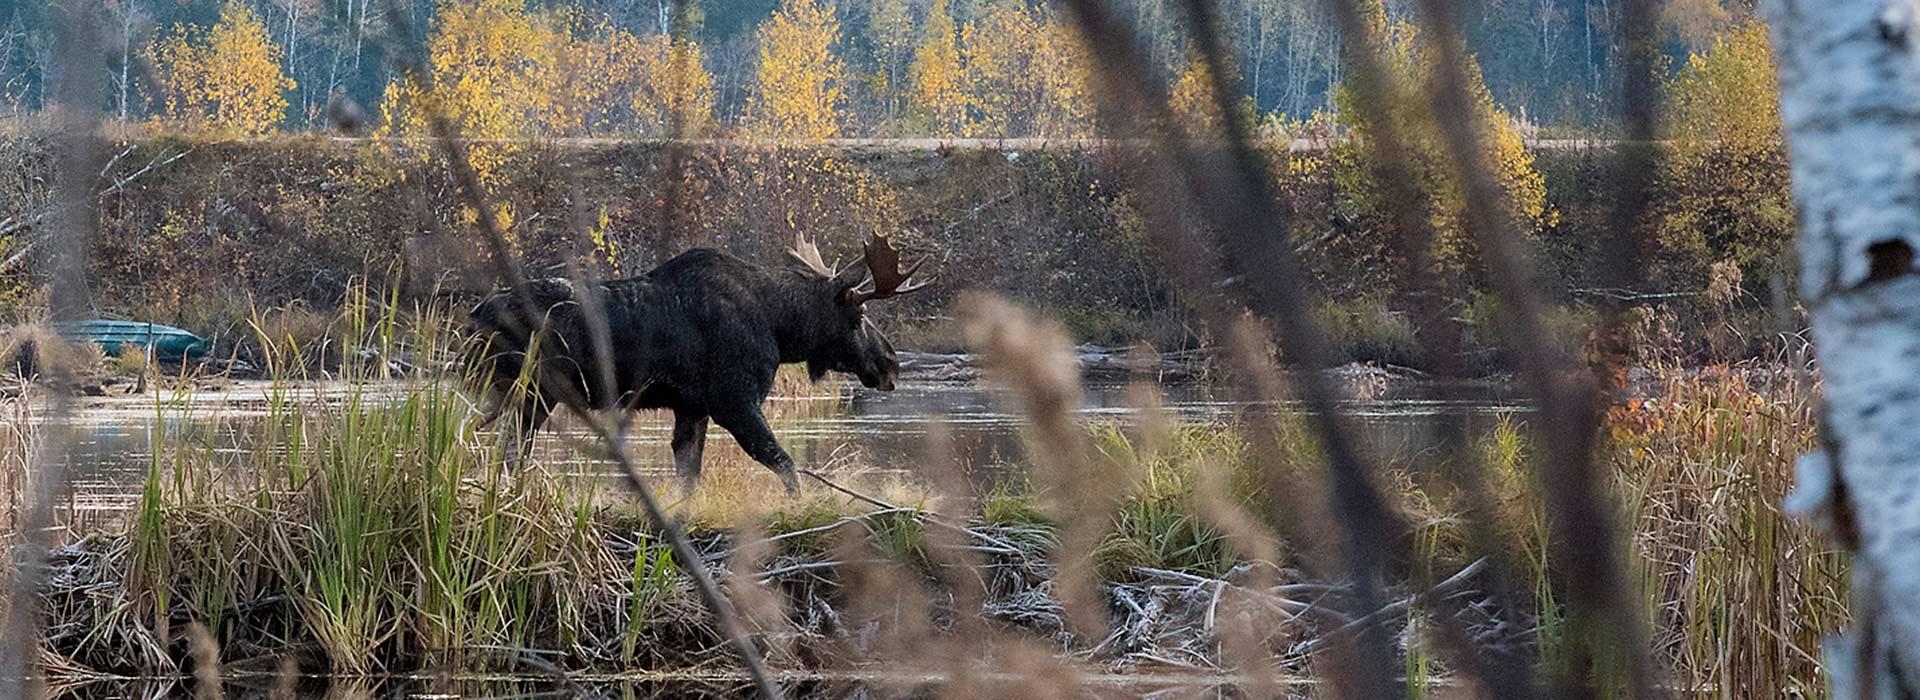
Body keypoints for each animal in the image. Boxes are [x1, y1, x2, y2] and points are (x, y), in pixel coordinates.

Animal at [465, 233, 930, 493]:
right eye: (859, 315)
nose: (890, 365)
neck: (780, 325)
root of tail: (476, 314)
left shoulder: (692, 407)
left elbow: (689, 475)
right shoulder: (733, 401)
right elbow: (784, 465)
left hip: (494, 391)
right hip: (533, 392)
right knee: (509, 450)